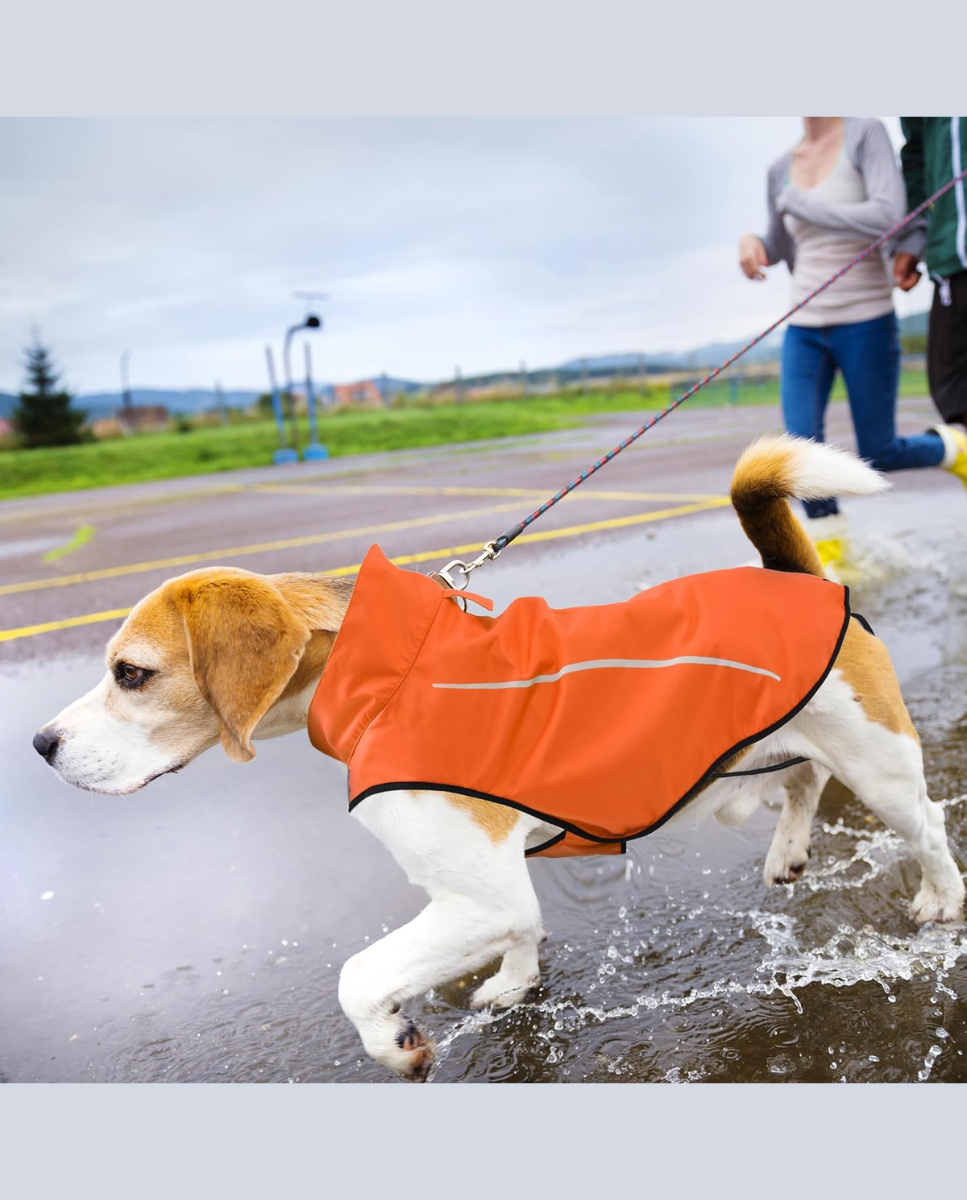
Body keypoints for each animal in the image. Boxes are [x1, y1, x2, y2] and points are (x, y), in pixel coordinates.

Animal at [34, 439, 964, 1080]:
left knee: (924, 825)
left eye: (130, 673)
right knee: (804, 777)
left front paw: (394, 1041)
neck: (384, 670)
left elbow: (358, 976)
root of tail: (799, 577)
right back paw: (789, 850)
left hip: (879, 766)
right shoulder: (498, 884)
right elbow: (524, 927)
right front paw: (514, 984)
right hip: (770, 753)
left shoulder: (475, 895)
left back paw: (938, 900)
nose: (41, 746)